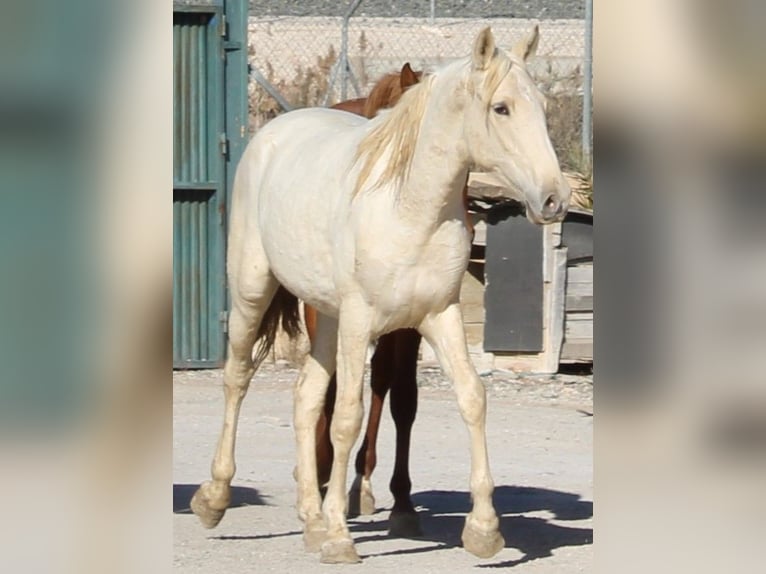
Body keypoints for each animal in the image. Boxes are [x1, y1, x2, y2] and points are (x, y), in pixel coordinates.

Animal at [191, 24, 568, 564]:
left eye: (540, 103)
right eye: (501, 108)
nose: (554, 199)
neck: (408, 208)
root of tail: (272, 133)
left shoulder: (437, 316)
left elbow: (470, 398)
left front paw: (483, 529)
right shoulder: (361, 320)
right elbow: (348, 417)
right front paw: (340, 536)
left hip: (326, 317)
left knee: (307, 395)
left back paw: (310, 517)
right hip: (252, 292)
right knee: (238, 379)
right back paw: (216, 498)